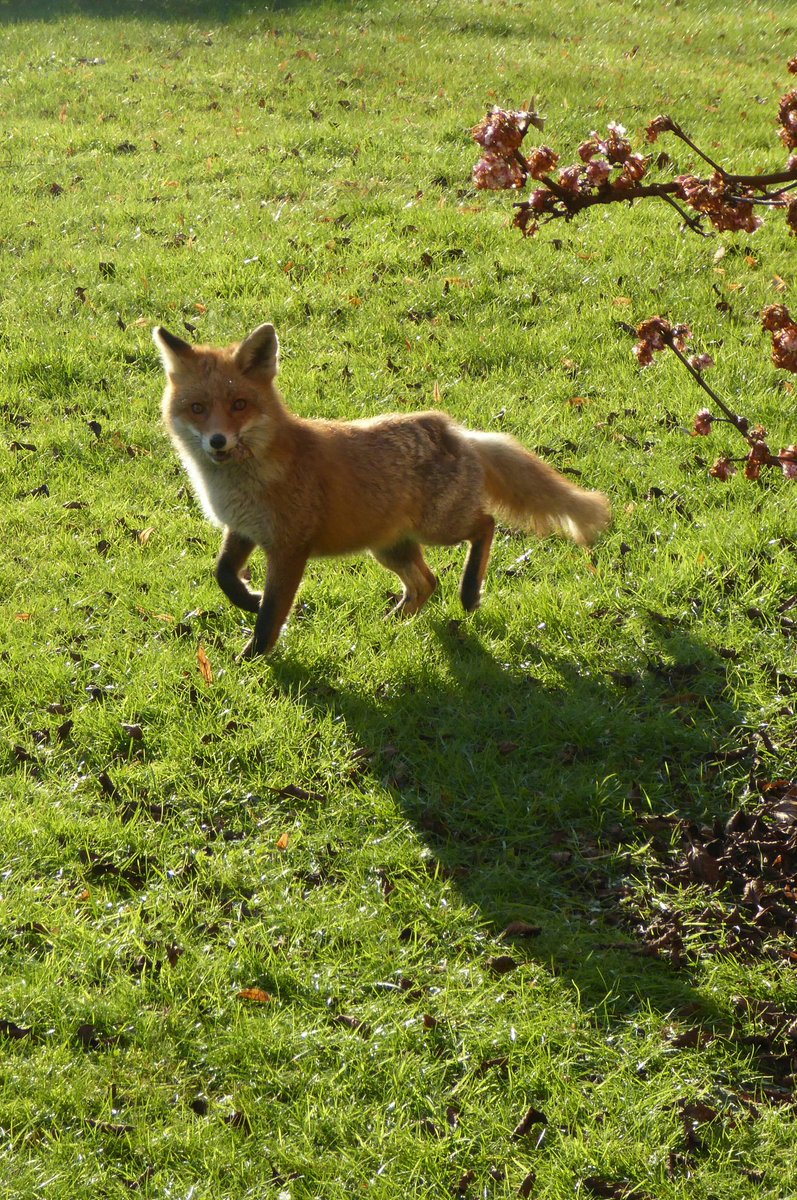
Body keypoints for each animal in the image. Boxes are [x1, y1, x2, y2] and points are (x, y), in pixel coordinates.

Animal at [154, 321, 610, 659]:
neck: (247, 478)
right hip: (389, 548)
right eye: (197, 408)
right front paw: (248, 598)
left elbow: (271, 614)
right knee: (427, 583)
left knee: (486, 525)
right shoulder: (245, 529)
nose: (217, 441)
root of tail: (453, 429)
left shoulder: (288, 547)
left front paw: (251, 658)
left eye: (239, 405)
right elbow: (224, 575)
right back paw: (394, 625)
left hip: (438, 528)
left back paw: (469, 594)